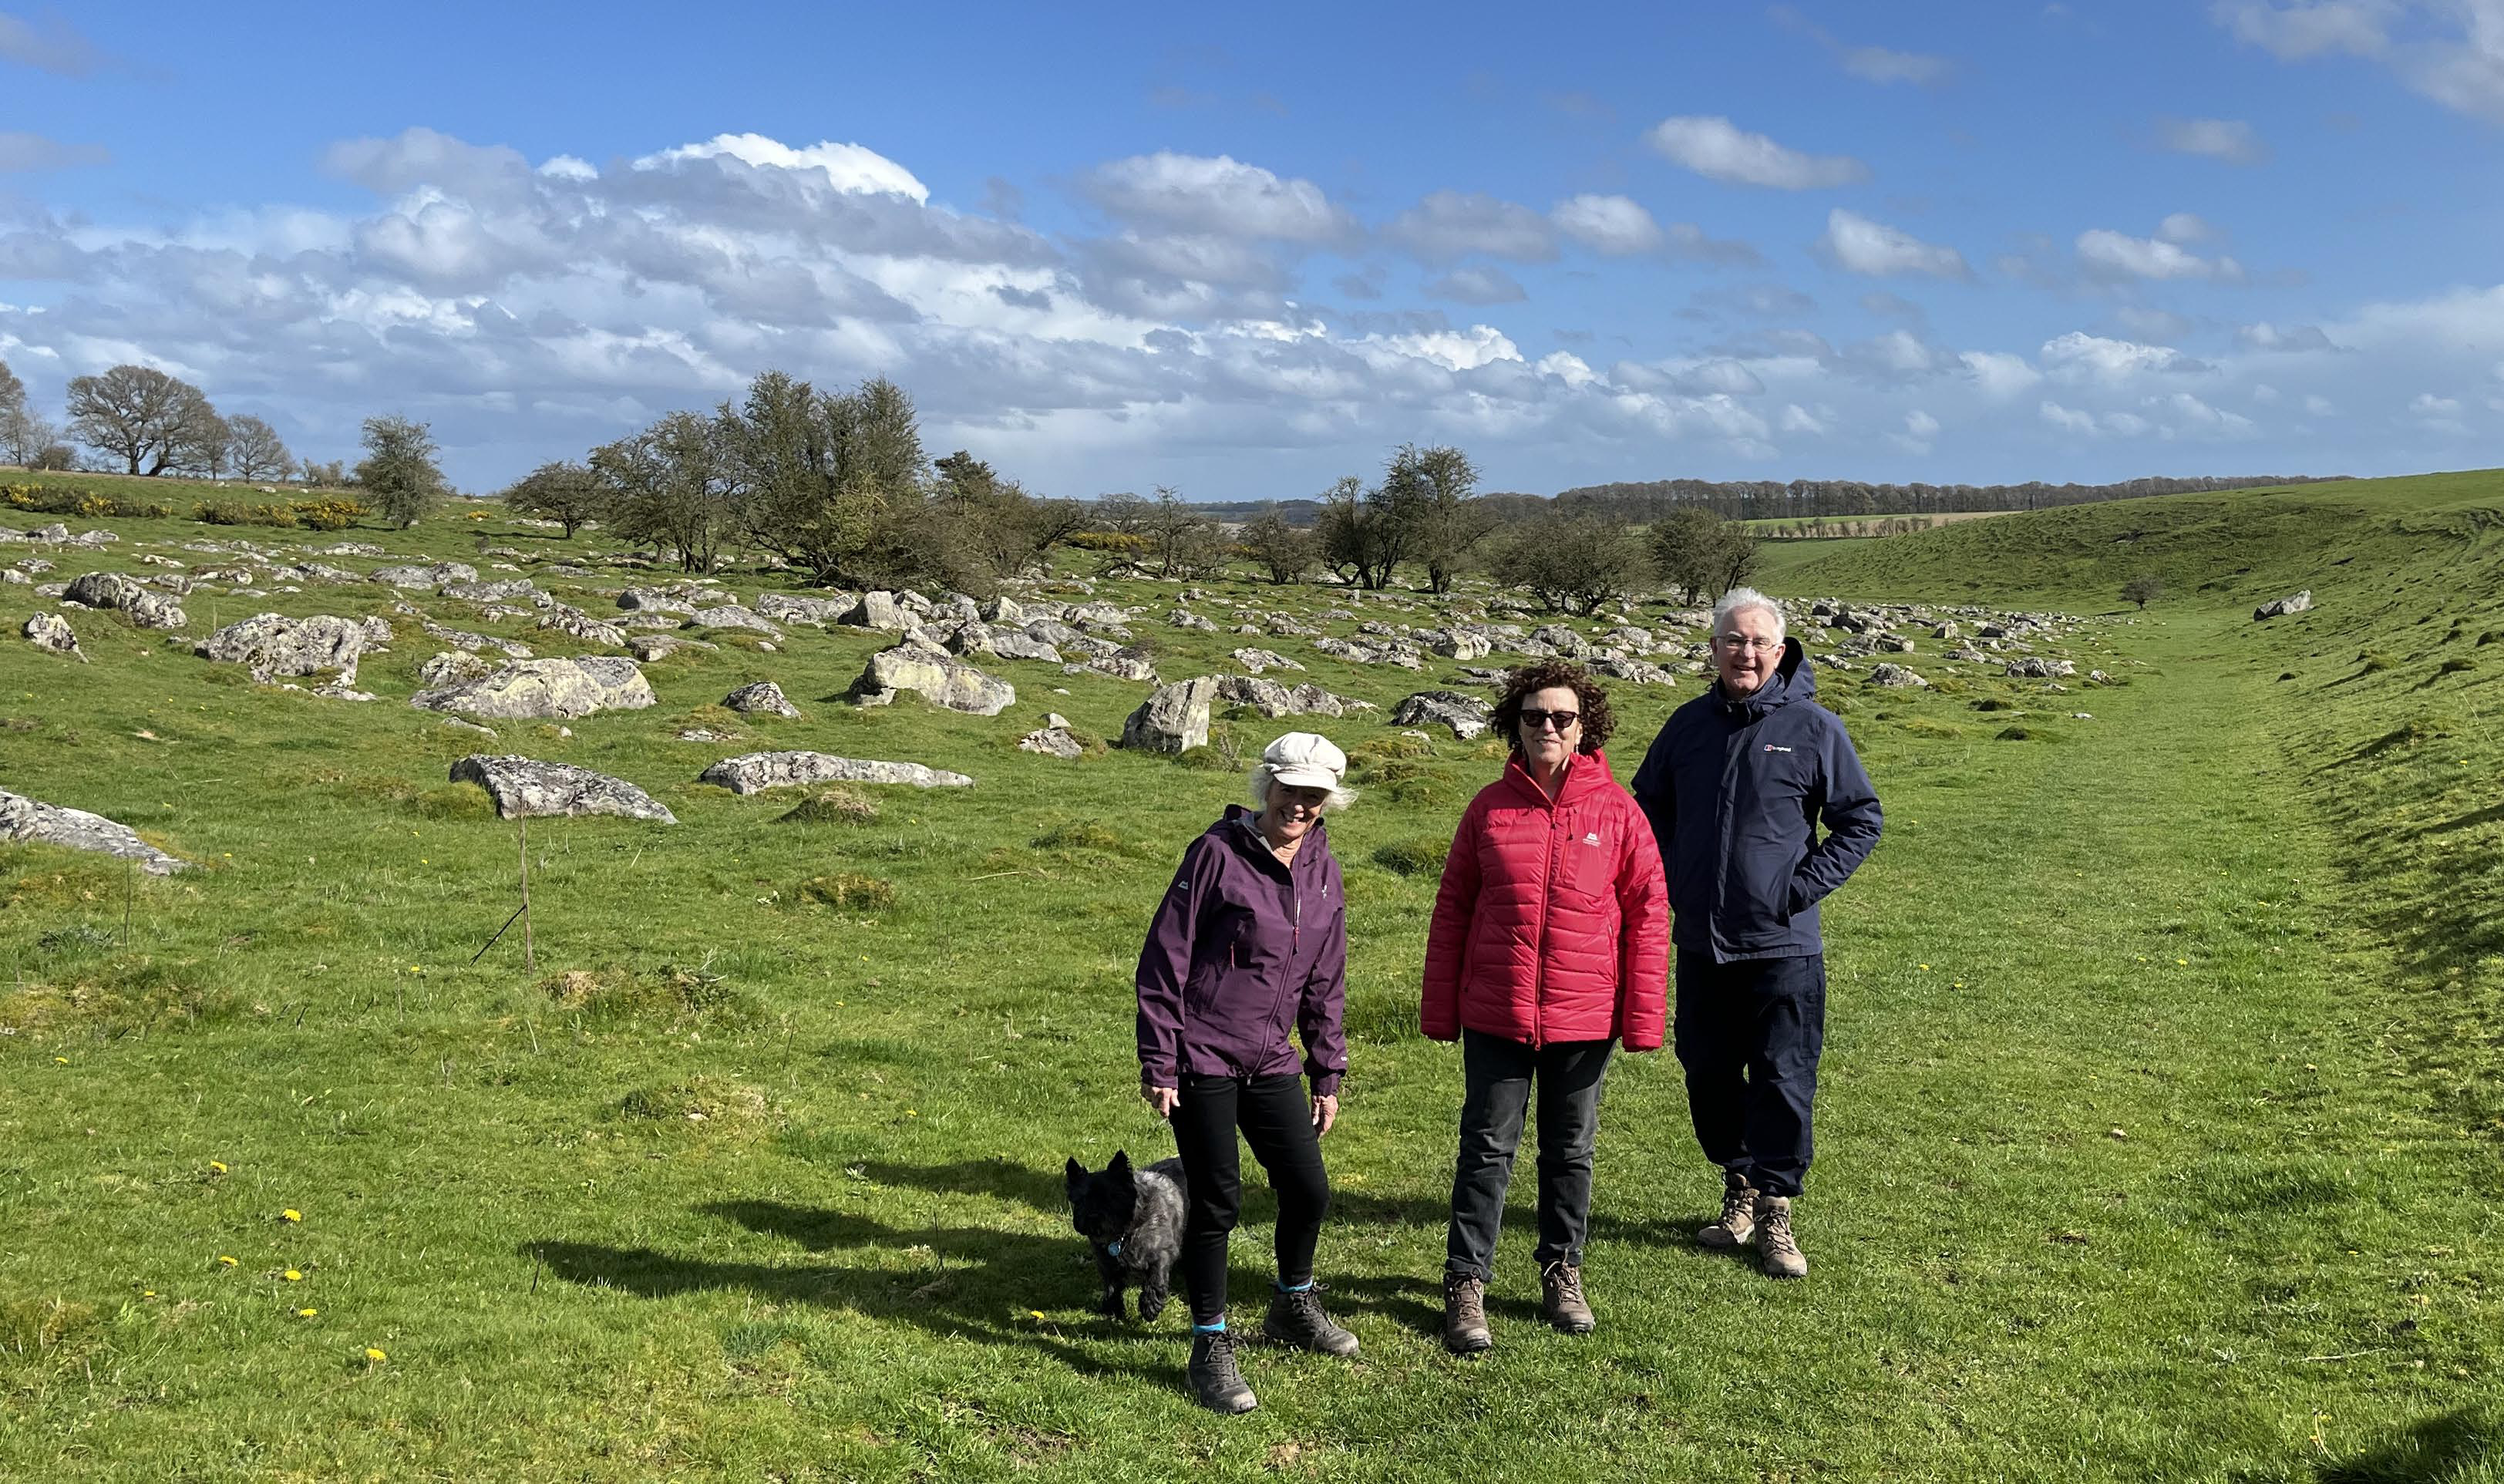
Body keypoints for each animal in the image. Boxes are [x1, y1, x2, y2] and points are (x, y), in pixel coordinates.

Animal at [1062, 1146, 1186, 1321]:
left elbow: (1156, 1279)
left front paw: (1150, 1306)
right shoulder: (1107, 1263)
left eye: (1111, 1197)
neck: (1123, 1233)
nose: (1092, 1216)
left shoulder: (1162, 1253)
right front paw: (1113, 1309)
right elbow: (1112, 1286)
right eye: (1080, 1201)